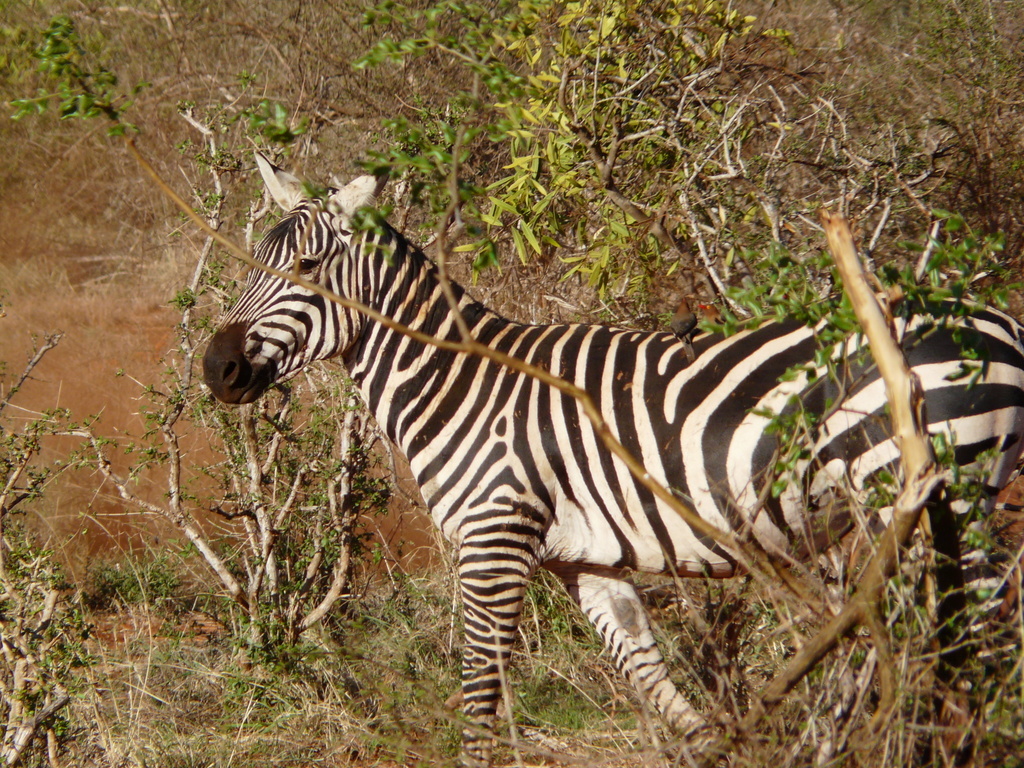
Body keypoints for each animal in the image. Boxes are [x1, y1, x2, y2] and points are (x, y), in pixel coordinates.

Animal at [199, 154, 1024, 765]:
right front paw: (721, 749)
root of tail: (994, 316)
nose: (216, 368)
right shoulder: (584, 560)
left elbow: (478, 696)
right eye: (255, 260)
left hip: (937, 493)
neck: (461, 383)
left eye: (309, 265)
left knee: (984, 648)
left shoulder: (494, 541)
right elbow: (652, 679)